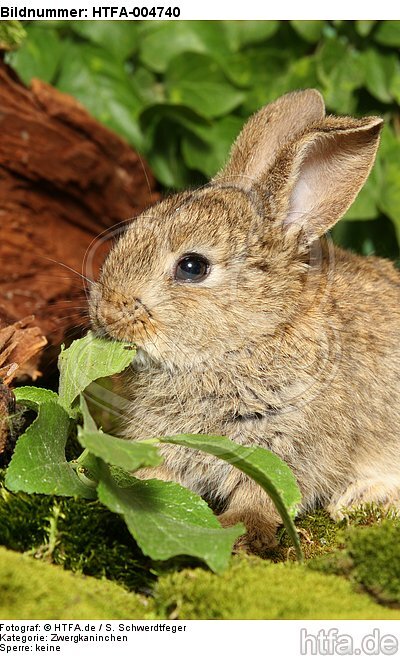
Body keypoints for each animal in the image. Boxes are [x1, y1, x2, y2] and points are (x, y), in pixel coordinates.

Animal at [90, 89, 400, 552]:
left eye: (193, 267)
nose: (106, 312)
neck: (256, 335)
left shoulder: (287, 444)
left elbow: (263, 496)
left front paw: (237, 533)